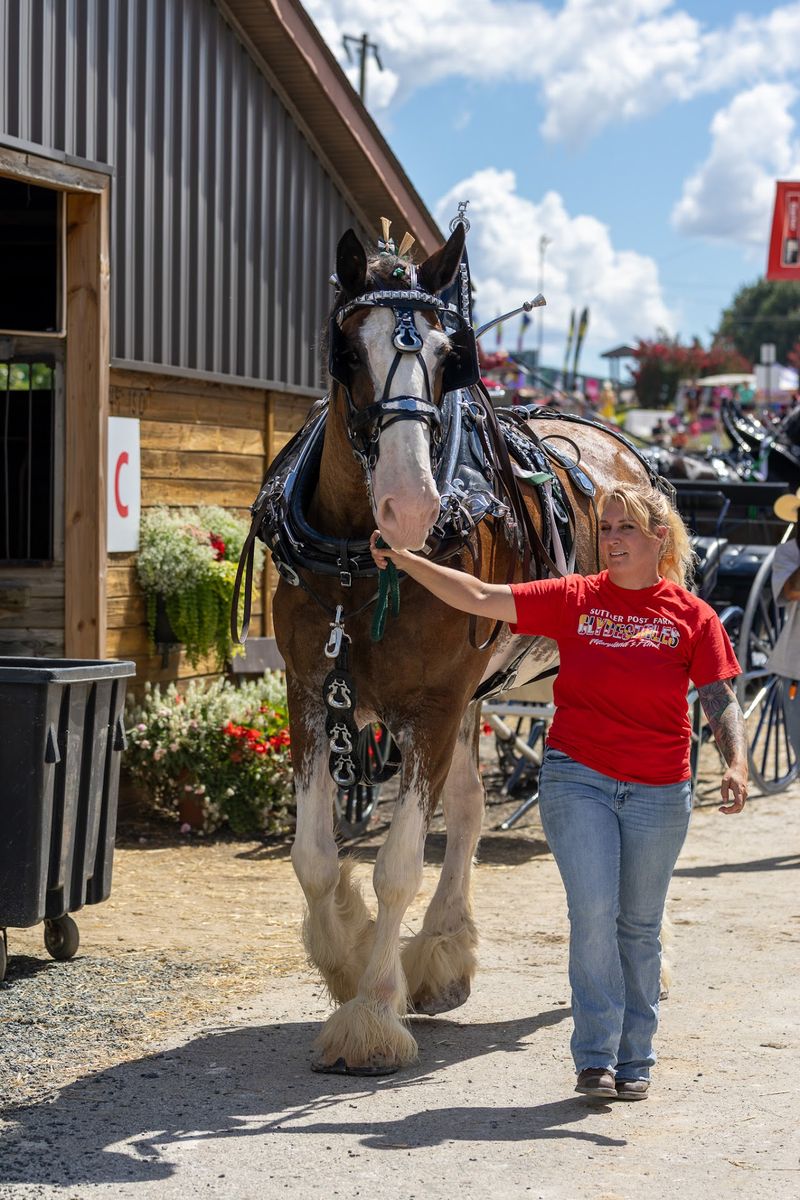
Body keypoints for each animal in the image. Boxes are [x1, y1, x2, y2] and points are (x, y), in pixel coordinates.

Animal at [252, 222, 656, 1075]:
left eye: (449, 356)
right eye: (347, 351)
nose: (410, 506)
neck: (356, 563)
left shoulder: (432, 707)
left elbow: (399, 865)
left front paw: (372, 1014)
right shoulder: (310, 692)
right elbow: (314, 857)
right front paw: (348, 956)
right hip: (473, 698)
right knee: (470, 812)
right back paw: (442, 949)